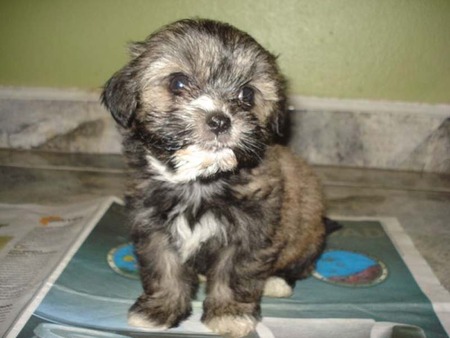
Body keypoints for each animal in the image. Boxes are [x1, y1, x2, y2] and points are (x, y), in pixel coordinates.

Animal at [102, 19, 326, 338]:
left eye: (247, 95)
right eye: (178, 83)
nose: (220, 120)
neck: (200, 181)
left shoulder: (248, 232)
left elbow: (234, 274)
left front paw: (229, 315)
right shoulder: (154, 227)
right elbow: (164, 269)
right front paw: (159, 310)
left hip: (307, 233)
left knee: (301, 264)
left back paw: (277, 281)